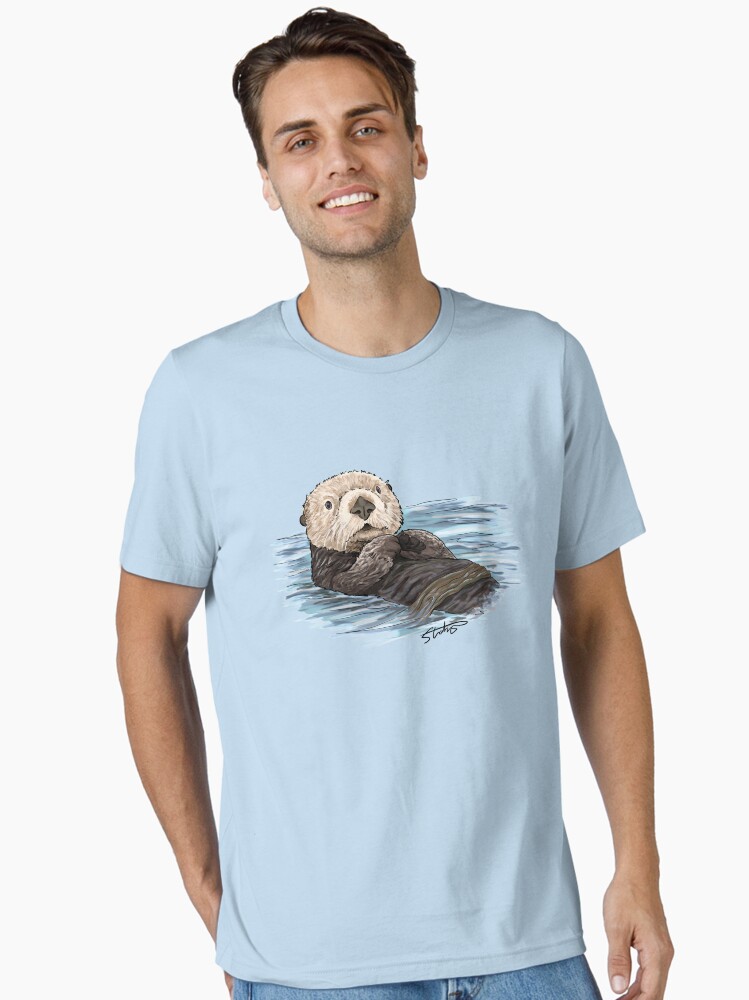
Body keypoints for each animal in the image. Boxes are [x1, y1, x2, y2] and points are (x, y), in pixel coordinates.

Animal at [299, 470, 499, 622]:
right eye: (328, 504)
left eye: (378, 489)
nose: (362, 504)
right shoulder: (327, 575)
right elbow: (351, 579)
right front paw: (385, 542)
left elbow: (444, 553)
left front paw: (411, 537)